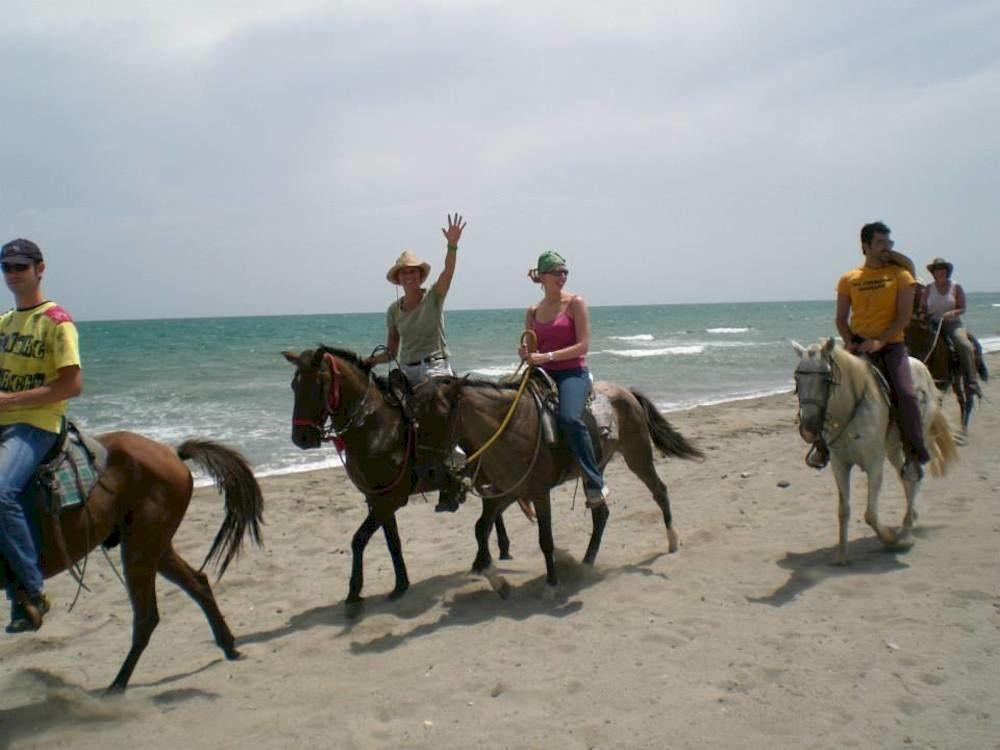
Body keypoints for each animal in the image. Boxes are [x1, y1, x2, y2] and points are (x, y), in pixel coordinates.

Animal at [0, 438, 264, 696]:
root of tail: (172, 453)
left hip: (140, 549)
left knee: (147, 617)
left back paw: (117, 685)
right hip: (156, 548)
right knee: (198, 584)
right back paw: (229, 646)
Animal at [284, 350, 512, 608]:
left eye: (319, 385)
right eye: (294, 385)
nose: (301, 438)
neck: (374, 428)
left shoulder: (390, 499)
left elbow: (359, 539)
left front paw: (355, 591)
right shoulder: (376, 498)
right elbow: (392, 541)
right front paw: (400, 584)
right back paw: (499, 548)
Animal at [414, 376, 704, 600]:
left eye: (440, 414)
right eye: (416, 419)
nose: (429, 471)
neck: (510, 429)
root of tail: (627, 392)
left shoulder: (539, 493)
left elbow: (545, 540)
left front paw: (551, 586)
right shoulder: (507, 492)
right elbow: (480, 529)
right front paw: (498, 581)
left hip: (637, 455)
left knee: (659, 490)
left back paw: (672, 541)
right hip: (595, 470)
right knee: (601, 514)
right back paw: (586, 565)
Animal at [792, 340, 956, 564]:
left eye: (825, 379)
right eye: (796, 378)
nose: (808, 430)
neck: (850, 407)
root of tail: (922, 367)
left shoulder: (874, 464)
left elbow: (870, 514)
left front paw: (891, 539)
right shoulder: (840, 464)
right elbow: (843, 510)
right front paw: (842, 555)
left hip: (913, 440)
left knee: (914, 479)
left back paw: (906, 531)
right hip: (893, 449)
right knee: (905, 479)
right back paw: (910, 518)